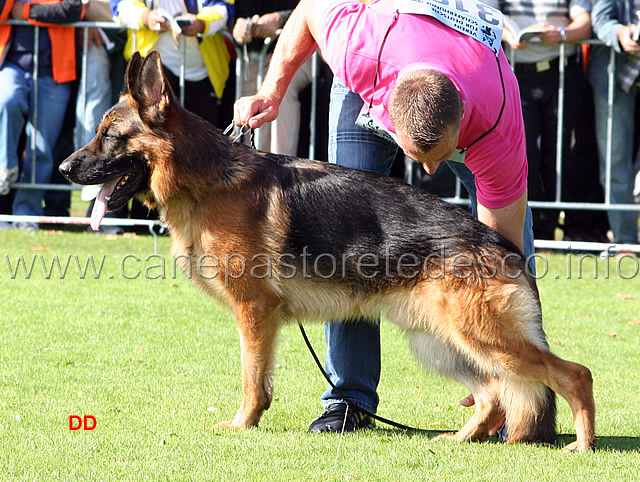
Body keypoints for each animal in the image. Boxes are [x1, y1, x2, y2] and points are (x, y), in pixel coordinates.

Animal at [58, 51, 596, 452]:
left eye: (109, 136)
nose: (63, 168)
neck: (207, 179)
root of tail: (500, 244)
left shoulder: (255, 311)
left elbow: (252, 379)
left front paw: (242, 424)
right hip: (443, 343)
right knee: (494, 395)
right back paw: (460, 438)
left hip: (480, 337)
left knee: (574, 374)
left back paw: (583, 443)